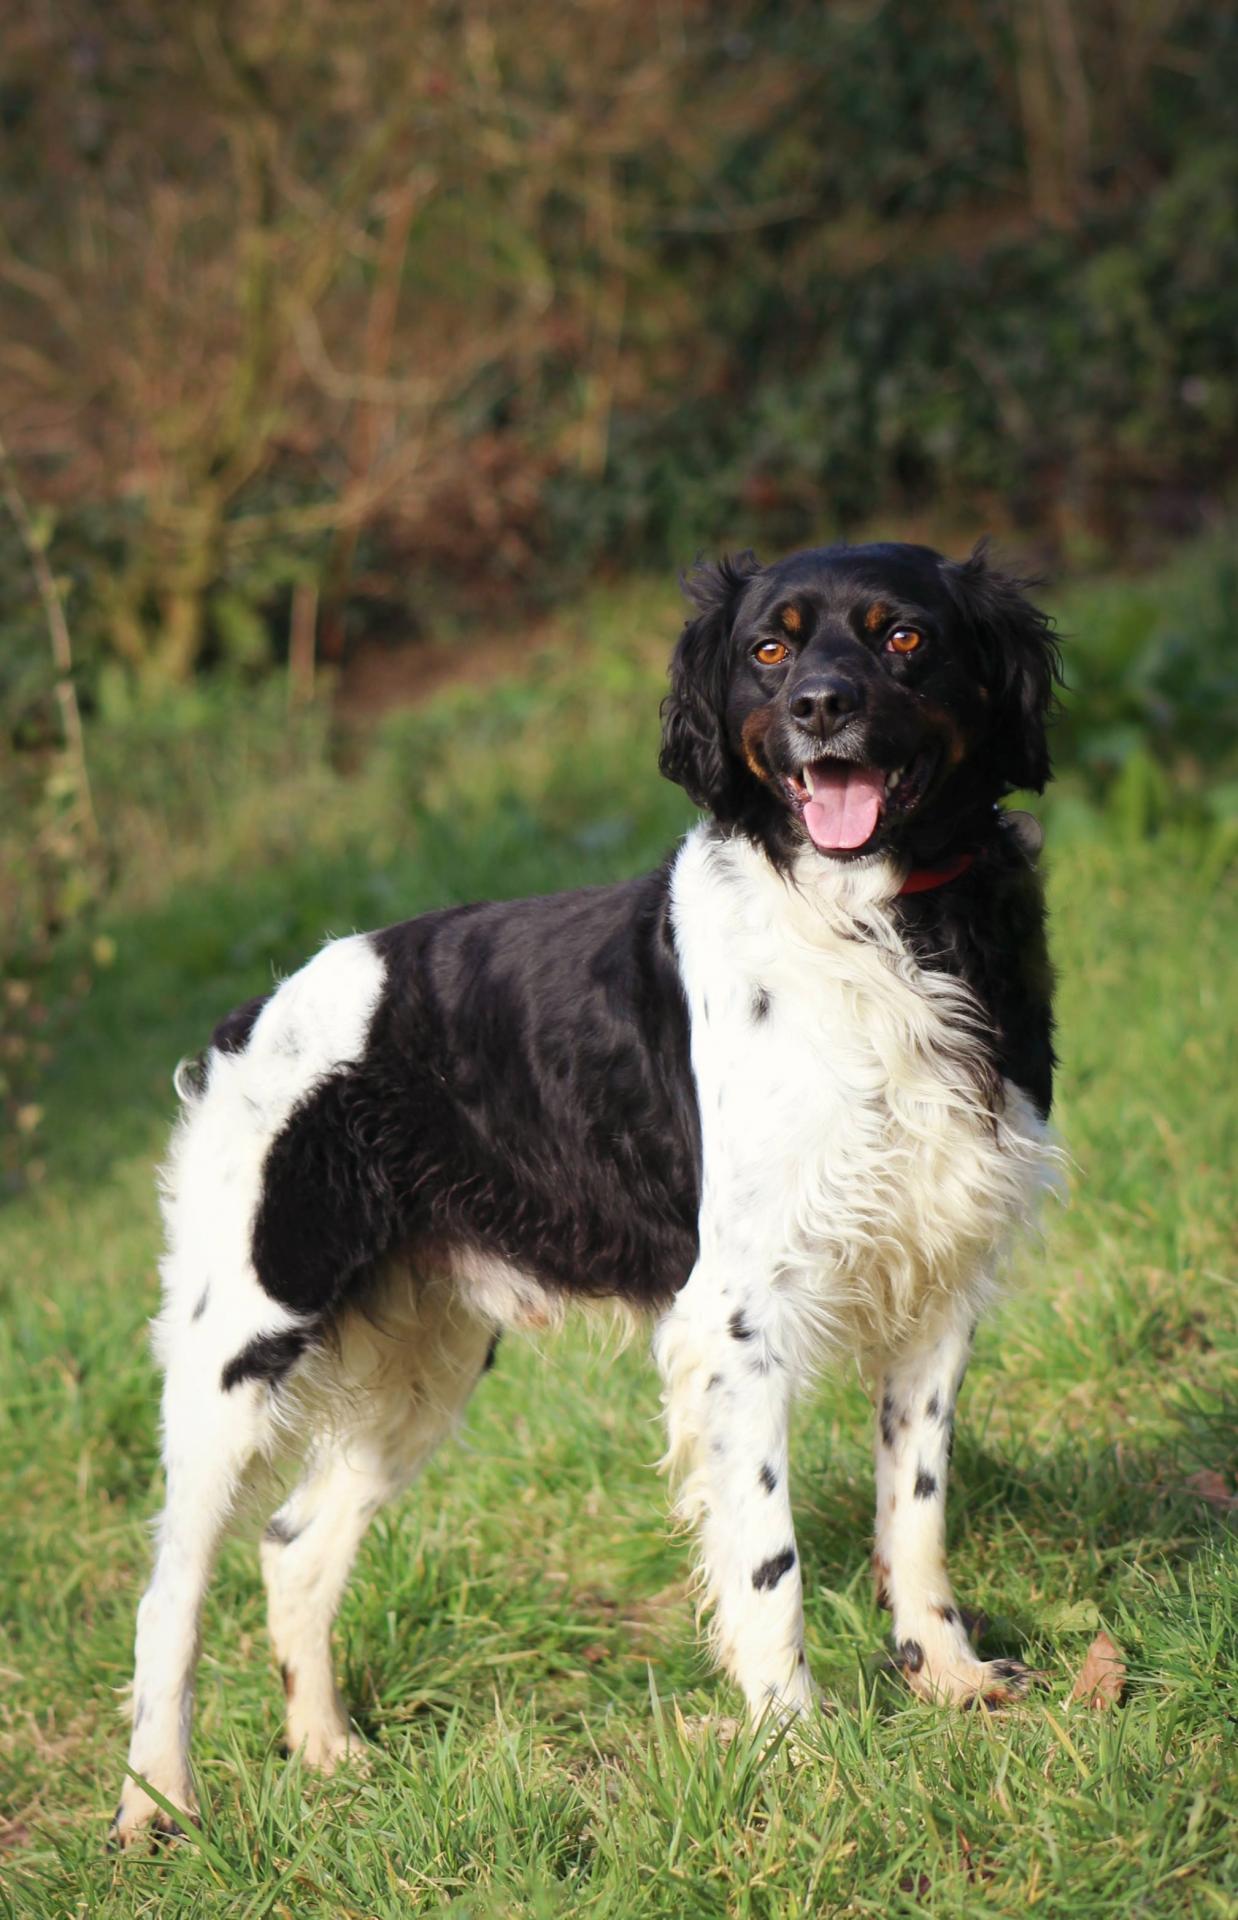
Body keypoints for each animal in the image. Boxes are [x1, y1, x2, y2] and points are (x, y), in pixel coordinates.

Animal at [110, 537, 1059, 1843]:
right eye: (771, 646)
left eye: (902, 636)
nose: (821, 708)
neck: (881, 930)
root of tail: (256, 1017)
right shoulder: (733, 1319)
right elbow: (766, 1561)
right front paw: (797, 1750)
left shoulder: (936, 1280)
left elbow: (913, 1507)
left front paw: (946, 1676)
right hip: (240, 1349)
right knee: (169, 1592)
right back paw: (155, 1804)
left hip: (424, 1364)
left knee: (294, 1544)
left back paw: (328, 1752)